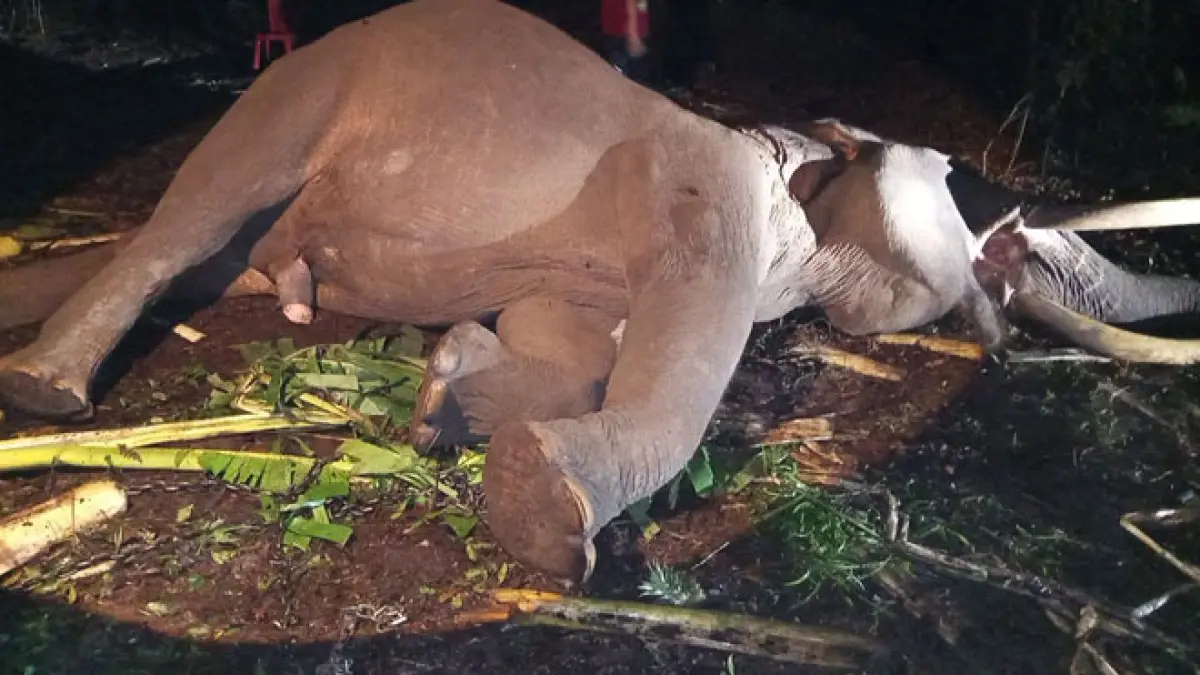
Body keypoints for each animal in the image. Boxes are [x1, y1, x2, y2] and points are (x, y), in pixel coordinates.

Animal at [2, 0, 1199, 583]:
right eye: (955, 178)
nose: (1008, 238)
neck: (793, 158)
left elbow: (572, 350)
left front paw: (449, 390)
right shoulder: (706, 199)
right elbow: (676, 383)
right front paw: (546, 511)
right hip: (294, 91)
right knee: (190, 215)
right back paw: (46, 391)